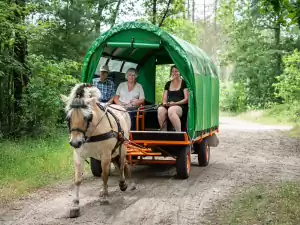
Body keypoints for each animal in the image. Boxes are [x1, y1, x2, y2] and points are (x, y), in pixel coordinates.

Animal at [60, 83, 132, 218]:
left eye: (86, 117)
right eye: (68, 118)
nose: (75, 142)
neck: (91, 132)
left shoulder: (106, 154)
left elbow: (104, 175)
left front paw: (104, 198)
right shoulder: (78, 155)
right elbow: (78, 179)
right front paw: (75, 204)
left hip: (122, 147)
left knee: (121, 165)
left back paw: (122, 183)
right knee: (114, 166)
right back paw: (104, 189)